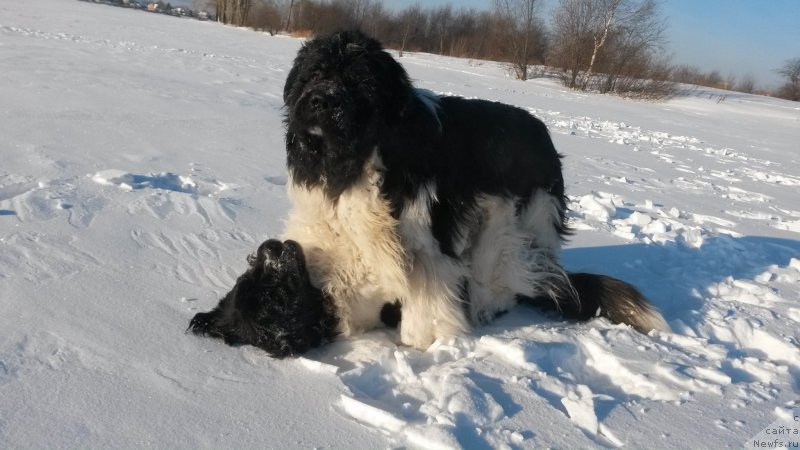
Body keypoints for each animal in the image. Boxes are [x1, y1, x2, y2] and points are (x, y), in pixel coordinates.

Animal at [188, 29, 668, 356]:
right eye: (316, 73)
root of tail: (543, 133)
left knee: (506, 274)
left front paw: (425, 348)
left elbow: (425, 310)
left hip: (513, 219)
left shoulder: (423, 247)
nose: (270, 247)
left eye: (359, 80)